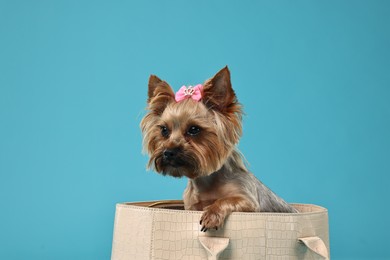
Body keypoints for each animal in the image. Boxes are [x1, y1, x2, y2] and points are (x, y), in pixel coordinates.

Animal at [140, 65, 296, 232]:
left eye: (194, 129)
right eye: (164, 130)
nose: (168, 152)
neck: (206, 181)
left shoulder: (248, 201)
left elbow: (226, 199)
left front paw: (211, 215)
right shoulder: (191, 207)